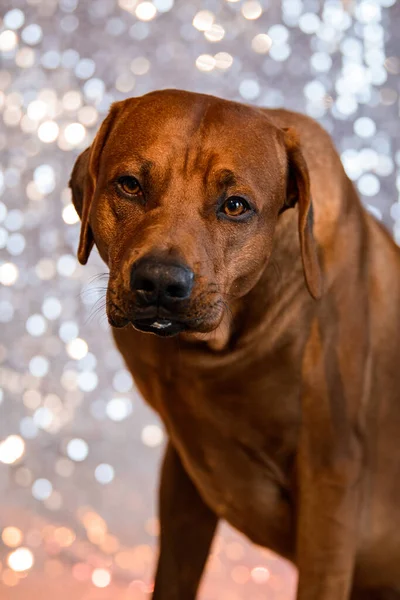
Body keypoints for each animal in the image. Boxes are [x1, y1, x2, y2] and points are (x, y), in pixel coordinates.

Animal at [69, 89, 400, 600]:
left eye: (236, 206)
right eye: (129, 185)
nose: (160, 282)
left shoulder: (331, 483)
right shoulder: (186, 472)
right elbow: (172, 576)